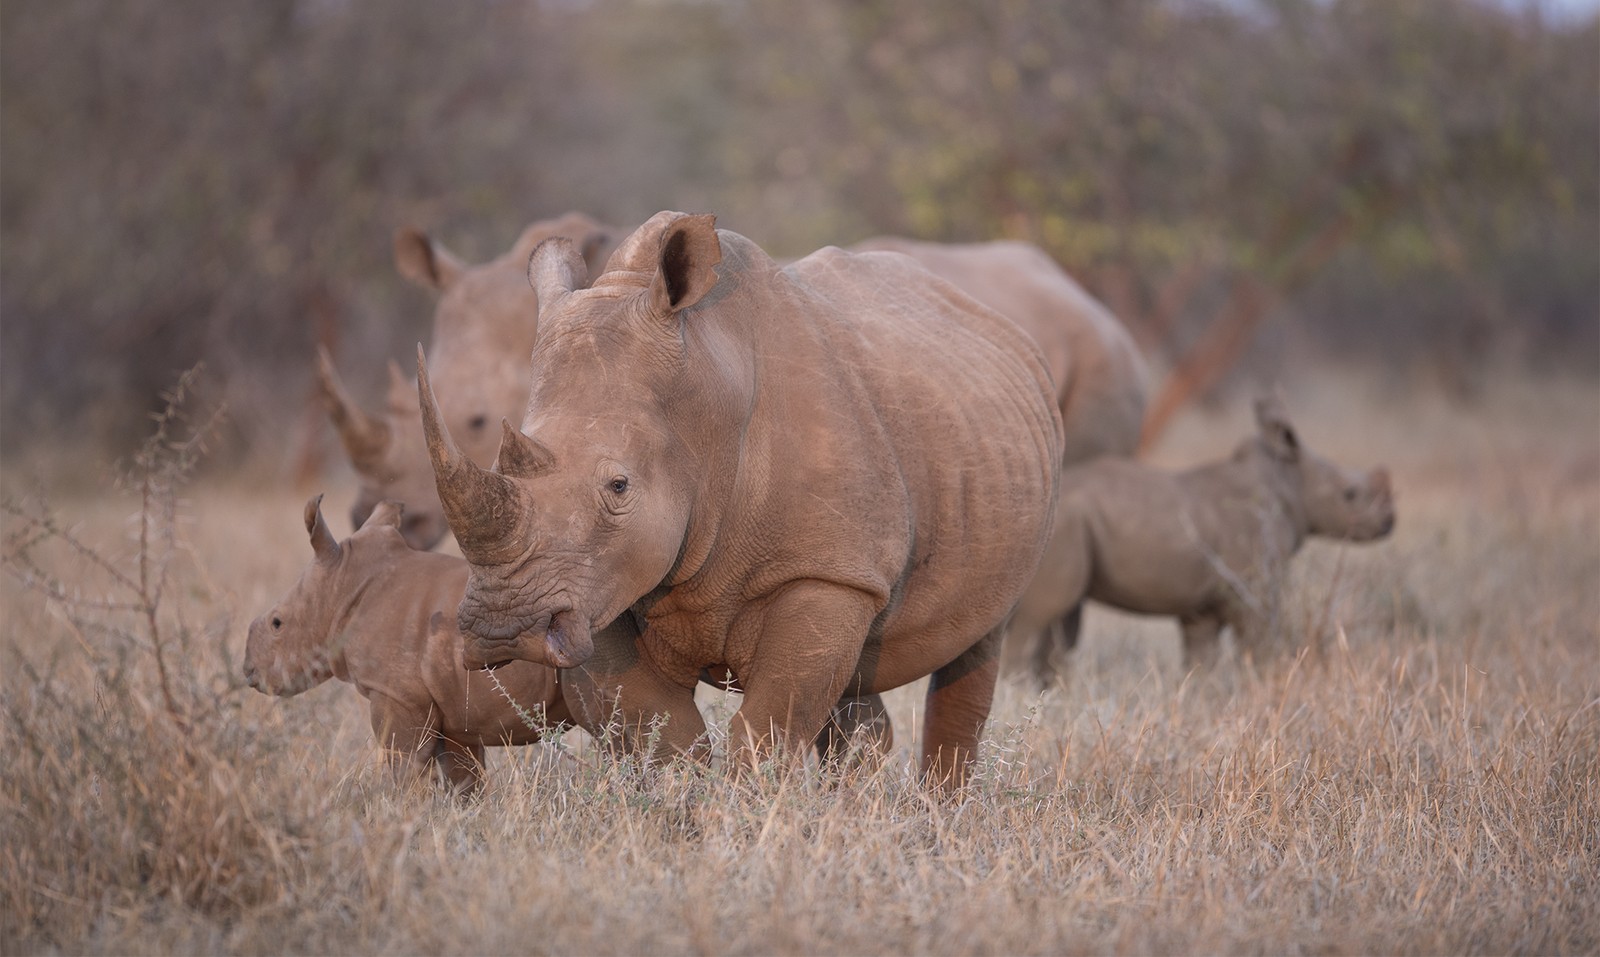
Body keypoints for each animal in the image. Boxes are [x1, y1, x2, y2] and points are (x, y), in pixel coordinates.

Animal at [419, 209, 1062, 787]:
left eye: (619, 486)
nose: (503, 629)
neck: (704, 404)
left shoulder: (824, 571)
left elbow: (771, 723)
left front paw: (749, 813)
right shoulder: (597, 581)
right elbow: (659, 731)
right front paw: (688, 810)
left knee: (976, 645)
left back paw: (940, 806)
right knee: (859, 678)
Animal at [1011, 393, 1401, 678]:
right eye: (1350, 494)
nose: (1389, 523)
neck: (1290, 481)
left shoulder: (1201, 608)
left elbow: (1202, 658)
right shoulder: (1252, 584)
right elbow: (1260, 639)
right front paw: (1267, 680)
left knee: (1059, 621)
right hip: (1061, 526)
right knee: (1037, 619)